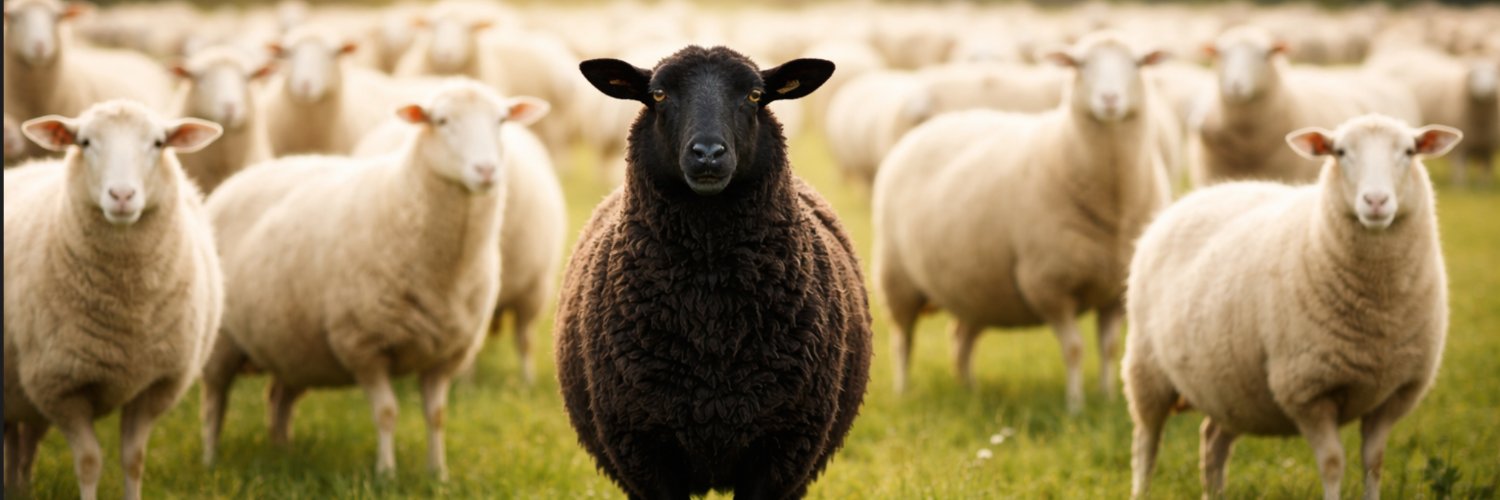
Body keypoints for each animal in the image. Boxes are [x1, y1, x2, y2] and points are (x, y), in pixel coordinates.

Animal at [4, 100, 224, 500]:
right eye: (85, 142)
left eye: (158, 143)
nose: (122, 196)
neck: (128, 310)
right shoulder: (59, 387)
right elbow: (89, 462)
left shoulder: (154, 386)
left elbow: (133, 460)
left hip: (20, 394)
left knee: (21, 440)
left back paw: (18, 485)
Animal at [352, 85, 566, 385]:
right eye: (441, 121)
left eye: (501, 120)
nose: (486, 170)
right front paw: (466, 385)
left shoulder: (531, 290)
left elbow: (524, 340)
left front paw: (528, 382)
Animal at [873, 33, 1172, 413]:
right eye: (1080, 64)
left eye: (1138, 63)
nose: (1109, 100)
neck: (1113, 204)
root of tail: (932, 125)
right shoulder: (1047, 284)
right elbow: (1074, 349)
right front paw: (1075, 406)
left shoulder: (1115, 291)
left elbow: (1109, 349)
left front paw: (1107, 398)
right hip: (898, 278)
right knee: (902, 339)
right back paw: (904, 390)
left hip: (975, 285)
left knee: (961, 338)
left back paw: (968, 388)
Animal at [1123, 114, 1459, 500]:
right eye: (1339, 152)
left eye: (1409, 151)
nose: (1376, 201)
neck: (1378, 313)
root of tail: (1192, 197)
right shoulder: (1307, 390)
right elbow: (1333, 463)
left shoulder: (1394, 394)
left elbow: (1374, 463)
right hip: (1146, 370)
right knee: (1146, 445)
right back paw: (1141, 490)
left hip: (1231, 387)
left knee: (1212, 442)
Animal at [1368, 48, 1498, 186]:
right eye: (1473, 74)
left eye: (1494, 73)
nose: (1485, 91)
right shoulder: (1462, 148)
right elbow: (1460, 171)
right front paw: (1461, 186)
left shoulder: (1487, 145)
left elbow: (1486, 170)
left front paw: (1484, 185)